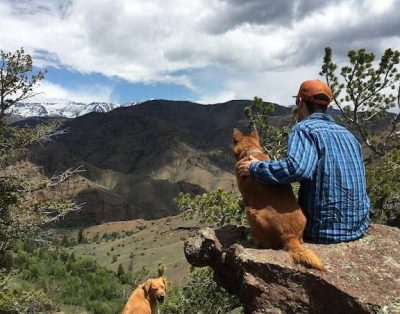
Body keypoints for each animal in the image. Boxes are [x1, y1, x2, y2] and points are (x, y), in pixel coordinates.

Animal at [233, 129, 324, 272]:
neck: (251, 151)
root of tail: (290, 236)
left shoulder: (246, 198)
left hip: (251, 211)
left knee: (264, 242)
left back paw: (252, 238)